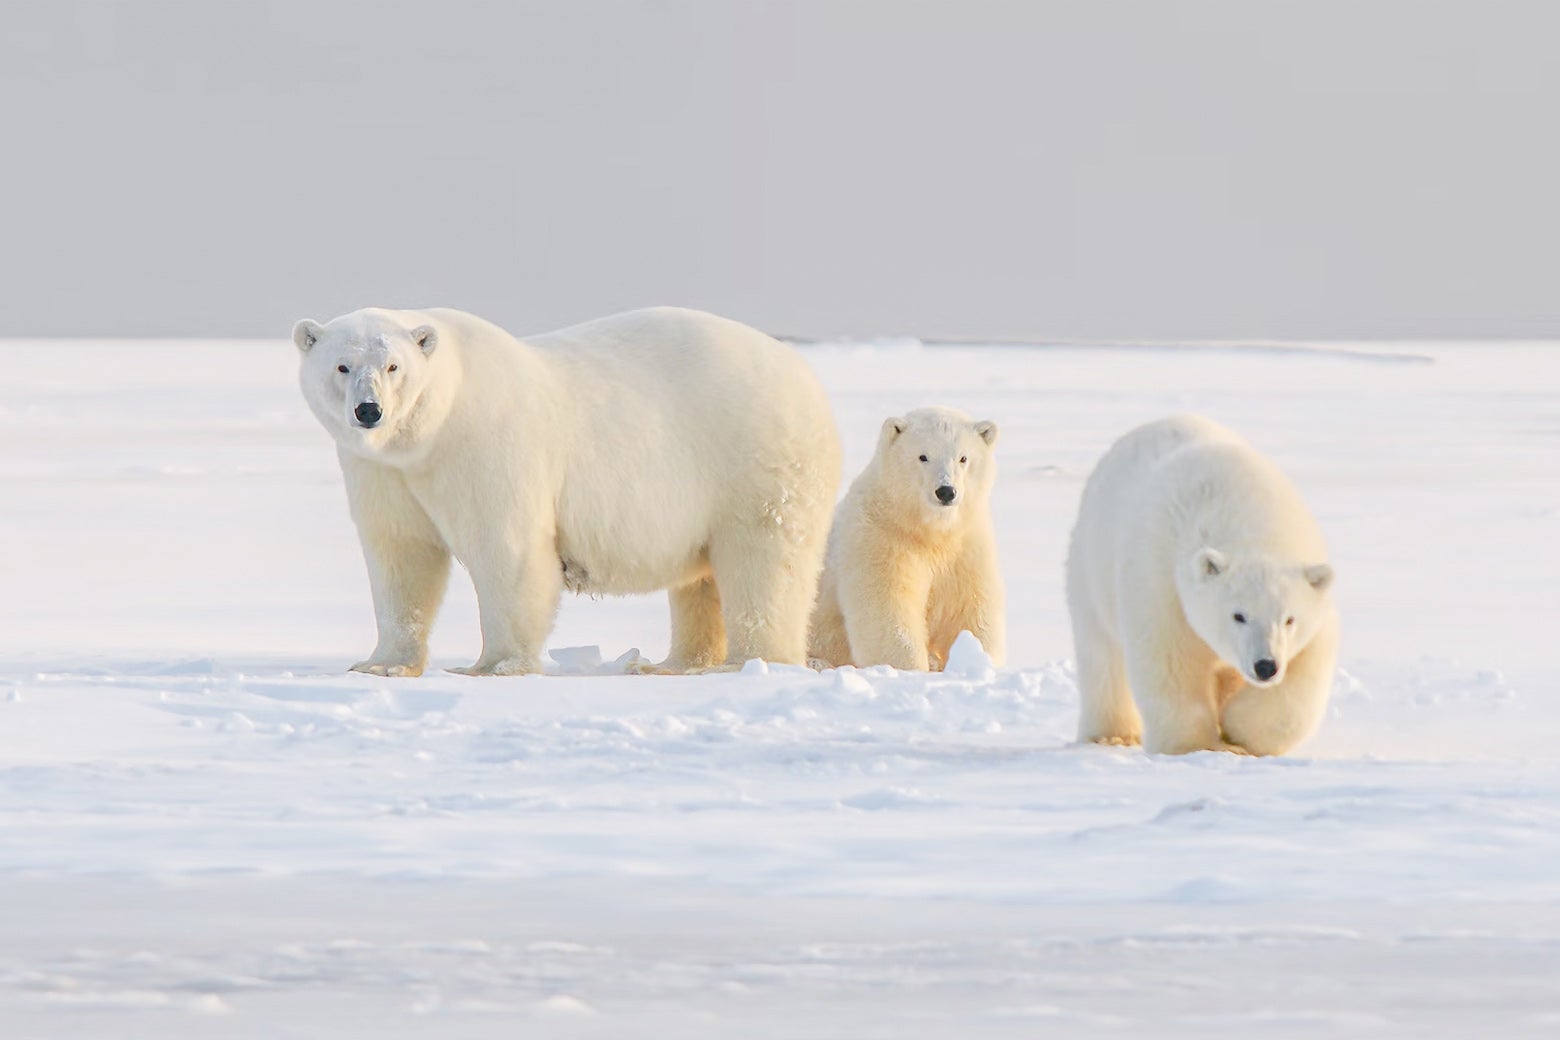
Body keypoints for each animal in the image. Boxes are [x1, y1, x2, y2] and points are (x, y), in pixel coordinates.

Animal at [293, 305, 842, 677]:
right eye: (341, 366)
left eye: (394, 367)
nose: (369, 411)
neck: (430, 431)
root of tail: (805, 374)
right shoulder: (383, 471)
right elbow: (400, 555)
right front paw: (381, 664)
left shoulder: (487, 445)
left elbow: (506, 550)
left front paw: (494, 666)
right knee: (701, 580)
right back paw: (675, 663)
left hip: (754, 459)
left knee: (763, 561)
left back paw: (750, 661)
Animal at [807, 406, 1004, 671]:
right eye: (923, 456)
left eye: (963, 458)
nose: (946, 491)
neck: (926, 529)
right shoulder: (880, 538)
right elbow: (888, 609)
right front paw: (912, 668)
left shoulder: (966, 545)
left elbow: (969, 608)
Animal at [1065, 414, 1338, 756]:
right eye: (1238, 615)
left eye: (1290, 619)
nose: (1265, 666)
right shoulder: (1160, 582)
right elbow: (1171, 662)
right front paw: (1194, 745)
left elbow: (1302, 678)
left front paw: (1238, 732)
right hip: (1091, 568)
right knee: (1102, 655)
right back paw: (1111, 735)